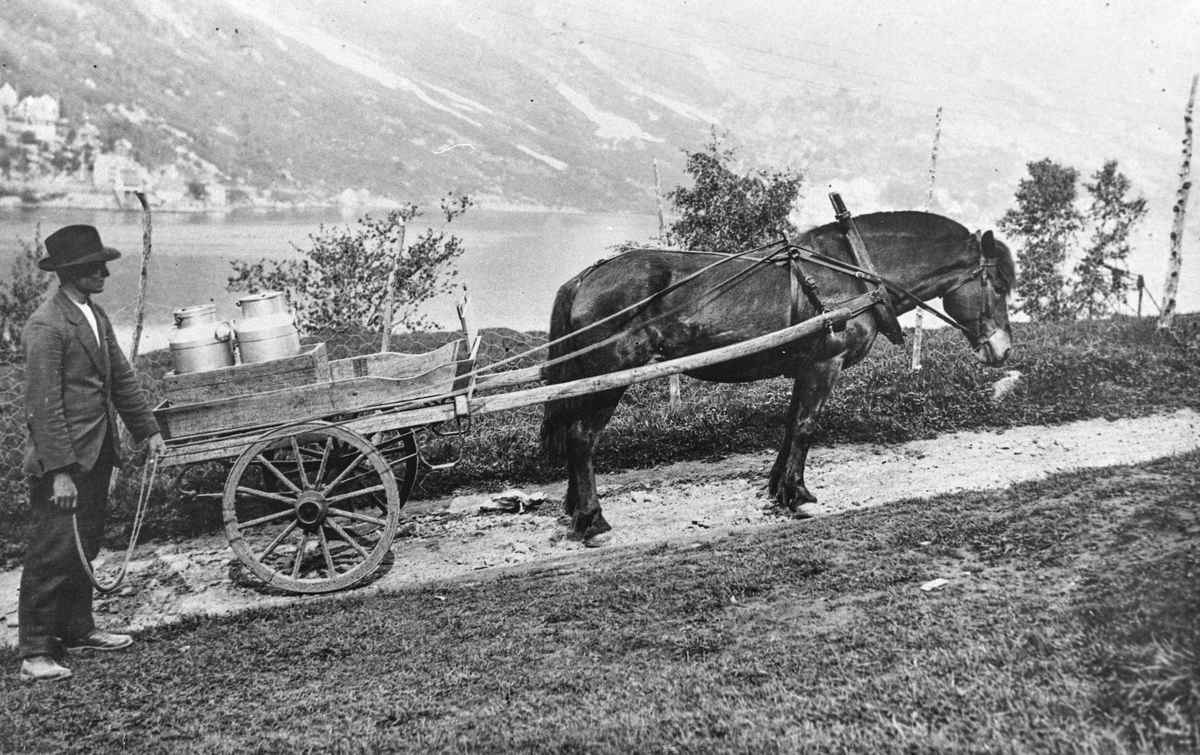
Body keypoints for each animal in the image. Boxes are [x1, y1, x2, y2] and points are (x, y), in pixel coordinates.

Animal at [540, 208, 1017, 537]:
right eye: (997, 285)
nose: (1003, 350)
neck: (857, 274)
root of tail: (587, 276)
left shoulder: (804, 368)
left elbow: (789, 427)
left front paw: (779, 489)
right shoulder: (825, 365)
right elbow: (806, 427)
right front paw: (798, 494)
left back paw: (574, 506)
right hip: (611, 376)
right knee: (582, 436)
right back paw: (591, 518)